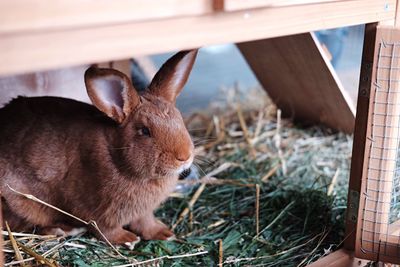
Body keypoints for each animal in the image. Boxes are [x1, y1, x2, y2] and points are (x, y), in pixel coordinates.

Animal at [0, 49, 198, 245]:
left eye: (179, 118)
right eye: (145, 131)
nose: (184, 157)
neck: (117, 156)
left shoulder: (143, 212)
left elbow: (145, 222)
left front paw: (164, 233)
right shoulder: (96, 210)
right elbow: (105, 229)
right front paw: (126, 239)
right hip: (20, 203)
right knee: (26, 224)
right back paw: (63, 229)